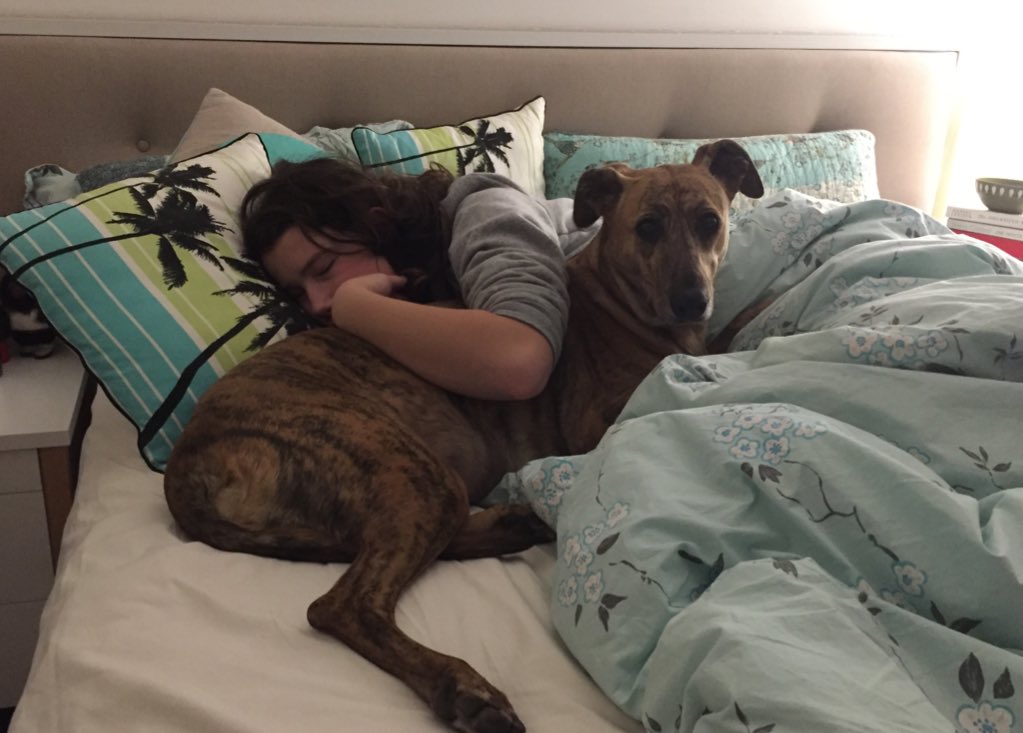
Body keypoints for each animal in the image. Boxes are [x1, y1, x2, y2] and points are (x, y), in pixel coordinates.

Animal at [163, 140, 764, 733]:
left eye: (710, 221)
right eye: (647, 227)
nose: (692, 299)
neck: (622, 300)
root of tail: (186, 462)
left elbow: (729, 338)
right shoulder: (597, 421)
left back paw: (513, 525)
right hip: (408, 470)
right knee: (343, 605)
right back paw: (462, 688)